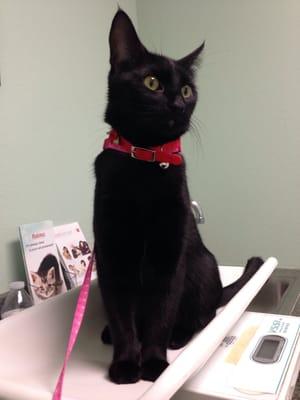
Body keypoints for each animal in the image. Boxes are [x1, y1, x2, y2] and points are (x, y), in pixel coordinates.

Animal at [93, 9, 262, 384]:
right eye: (152, 83)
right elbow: (121, 314)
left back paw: (179, 337)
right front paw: (125, 364)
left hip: (201, 265)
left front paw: (154, 364)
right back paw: (108, 334)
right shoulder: (112, 252)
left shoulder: (169, 253)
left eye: (186, 89)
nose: (178, 103)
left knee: (204, 315)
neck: (143, 161)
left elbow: (161, 312)